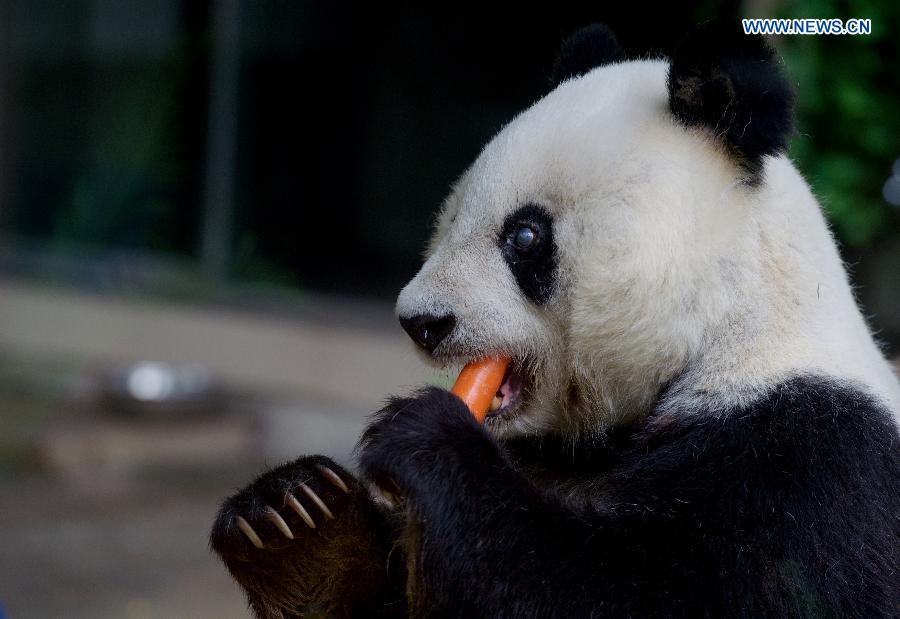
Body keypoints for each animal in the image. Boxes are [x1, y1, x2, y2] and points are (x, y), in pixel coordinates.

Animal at [210, 21, 900, 618]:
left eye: (524, 235)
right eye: (451, 218)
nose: (421, 322)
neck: (727, 324)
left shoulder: (810, 463)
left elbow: (636, 593)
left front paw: (420, 433)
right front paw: (295, 522)